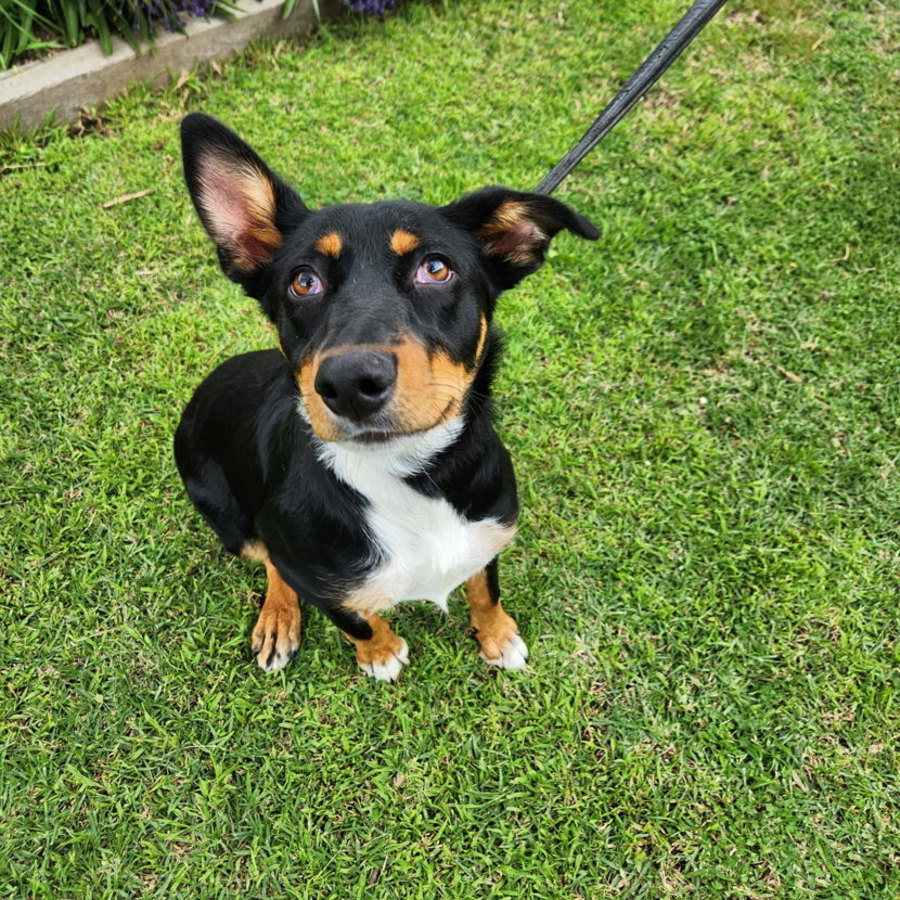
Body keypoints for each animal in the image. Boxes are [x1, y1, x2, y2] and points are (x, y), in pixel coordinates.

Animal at [175, 113, 598, 681]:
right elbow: (352, 617)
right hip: (228, 516)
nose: (350, 383)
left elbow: (484, 589)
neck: (412, 478)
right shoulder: (310, 570)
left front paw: (497, 636)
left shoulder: (488, 533)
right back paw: (278, 621)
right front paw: (379, 652)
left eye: (436, 268)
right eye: (303, 281)